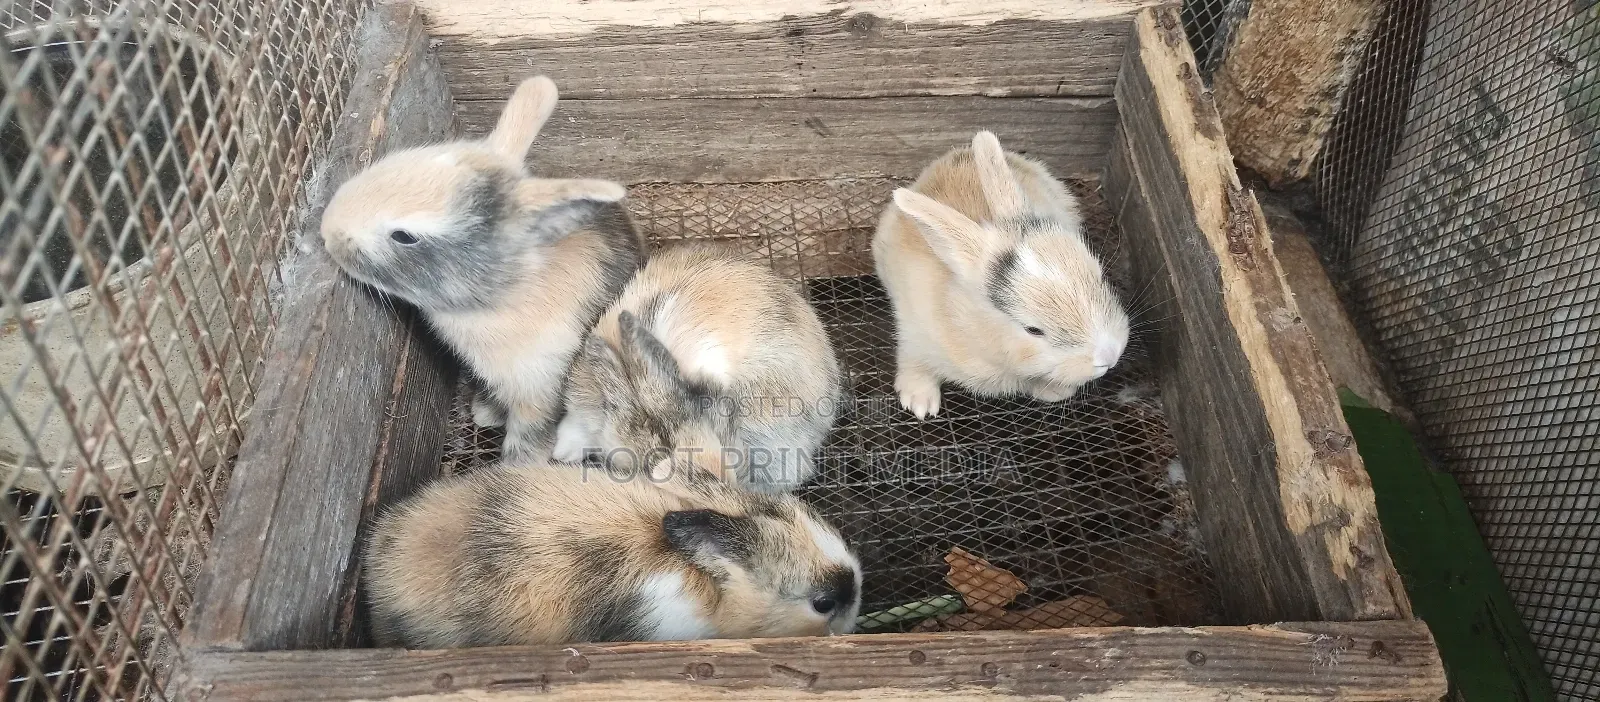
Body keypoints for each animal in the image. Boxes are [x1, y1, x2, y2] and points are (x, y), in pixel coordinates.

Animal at [321, 76, 646, 462]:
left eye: (404, 236)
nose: (326, 230)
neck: (505, 297)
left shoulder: (540, 393)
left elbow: (528, 440)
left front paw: (512, 465)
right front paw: (485, 412)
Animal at [872, 131, 1130, 419]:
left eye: (1100, 276)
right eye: (1033, 330)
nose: (1110, 356)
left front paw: (1056, 391)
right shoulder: (913, 334)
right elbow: (915, 363)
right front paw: (920, 404)